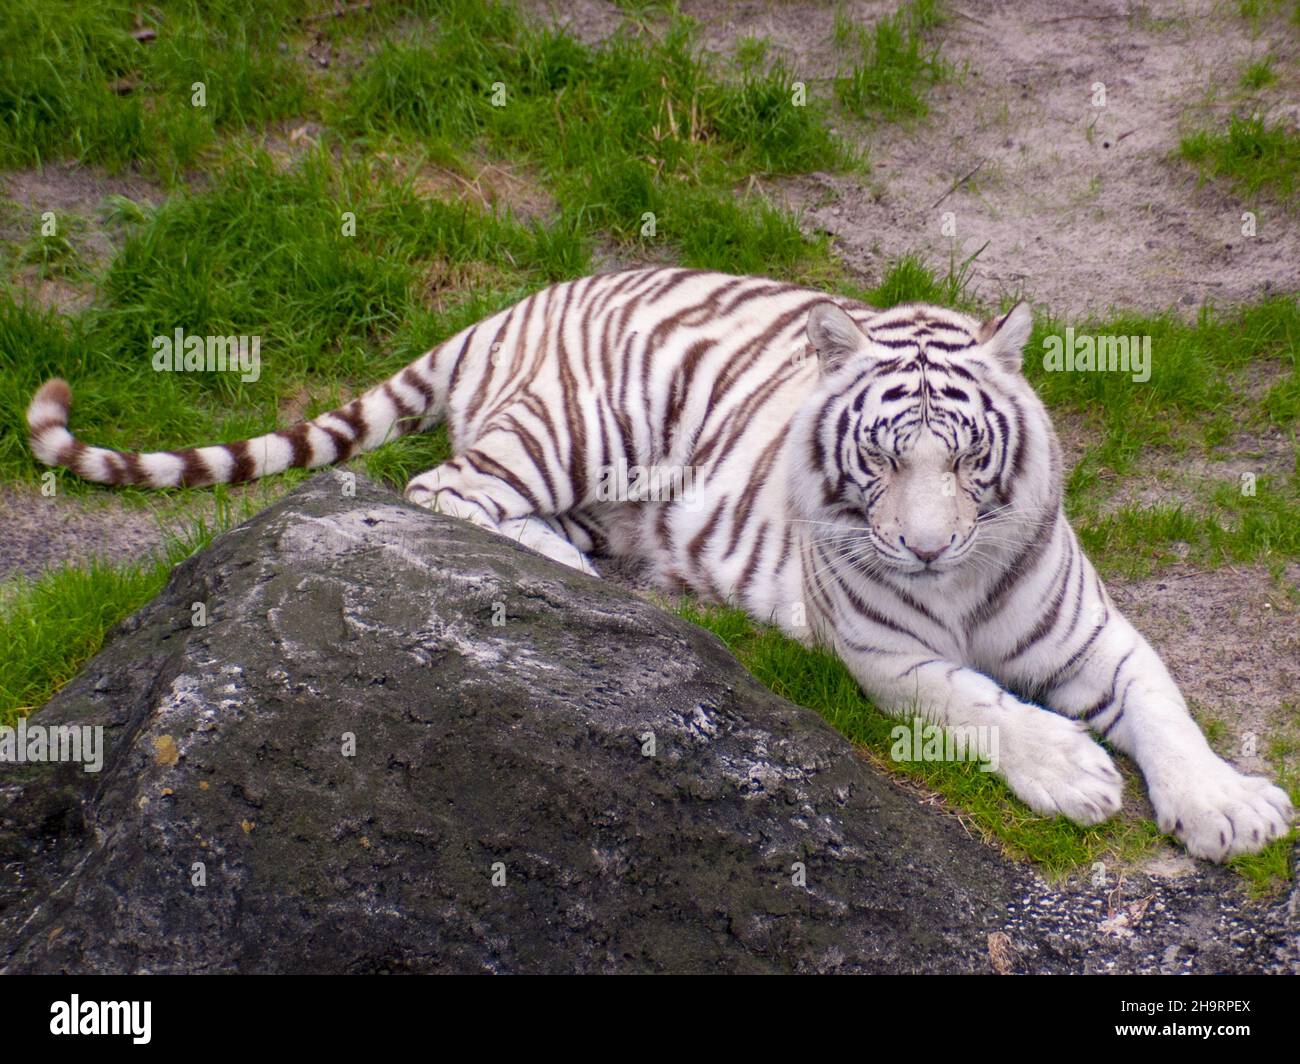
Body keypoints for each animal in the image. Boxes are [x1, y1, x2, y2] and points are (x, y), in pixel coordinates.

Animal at [26, 267, 1293, 862]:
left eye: (969, 458)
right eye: (882, 460)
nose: (925, 545)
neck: (960, 582)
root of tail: (515, 303)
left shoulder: (1096, 631)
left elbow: (1163, 703)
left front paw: (1226, 807)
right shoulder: (882, 654)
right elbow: (975, 700)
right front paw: (1072, 772)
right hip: (581, 424)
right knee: (446, 493)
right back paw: (579, 575)